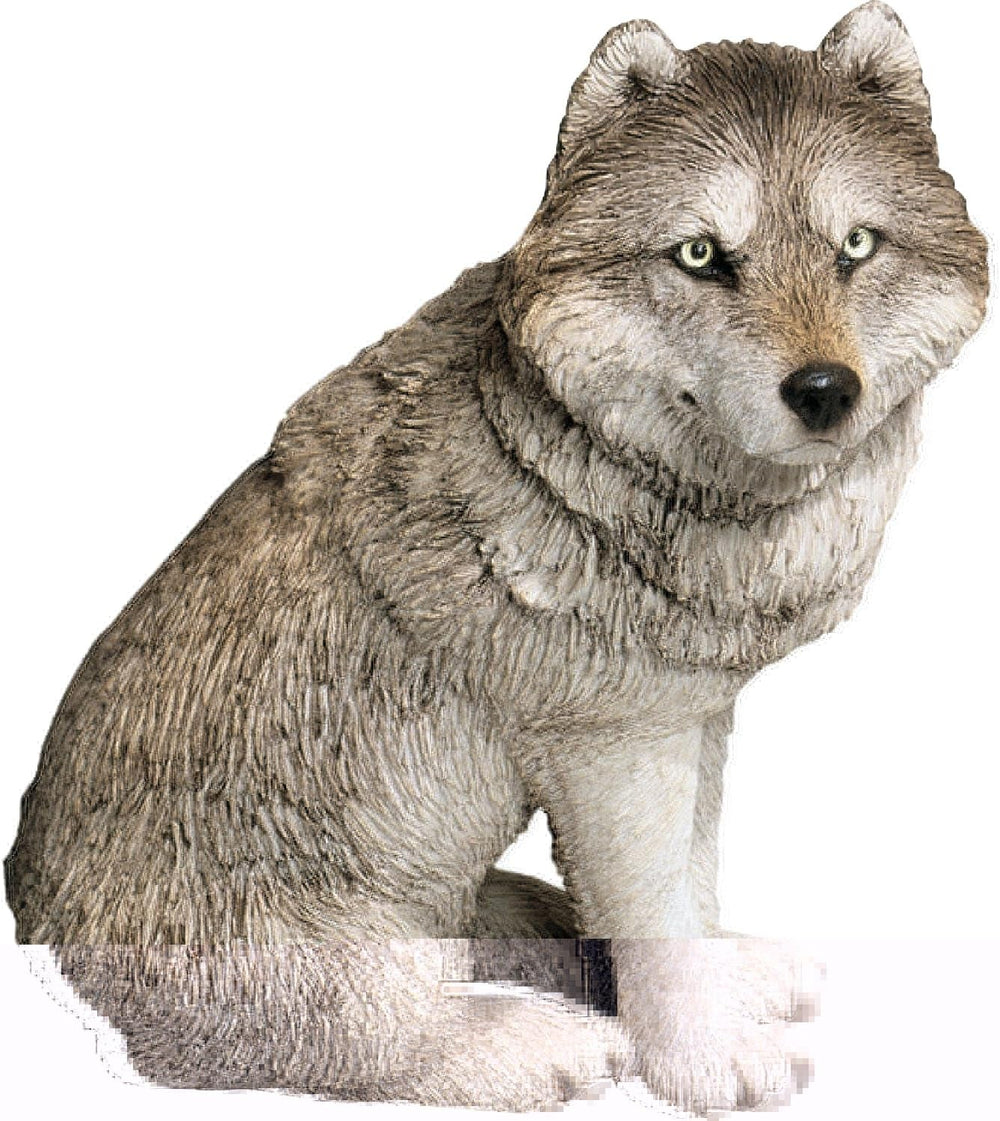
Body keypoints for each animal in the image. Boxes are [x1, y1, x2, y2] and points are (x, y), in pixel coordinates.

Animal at [5, 2, 988, 1114]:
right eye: (701, 255)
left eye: (857, 245)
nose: (825, 390)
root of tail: (28, 905)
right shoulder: (612, 746)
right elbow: (655, 914)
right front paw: (702, 1059)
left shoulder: (690, 717)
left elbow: (689, 886)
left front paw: (721, 987)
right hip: (339, 940)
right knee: (358, 1031)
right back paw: (531, 1042)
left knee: (511, 928)